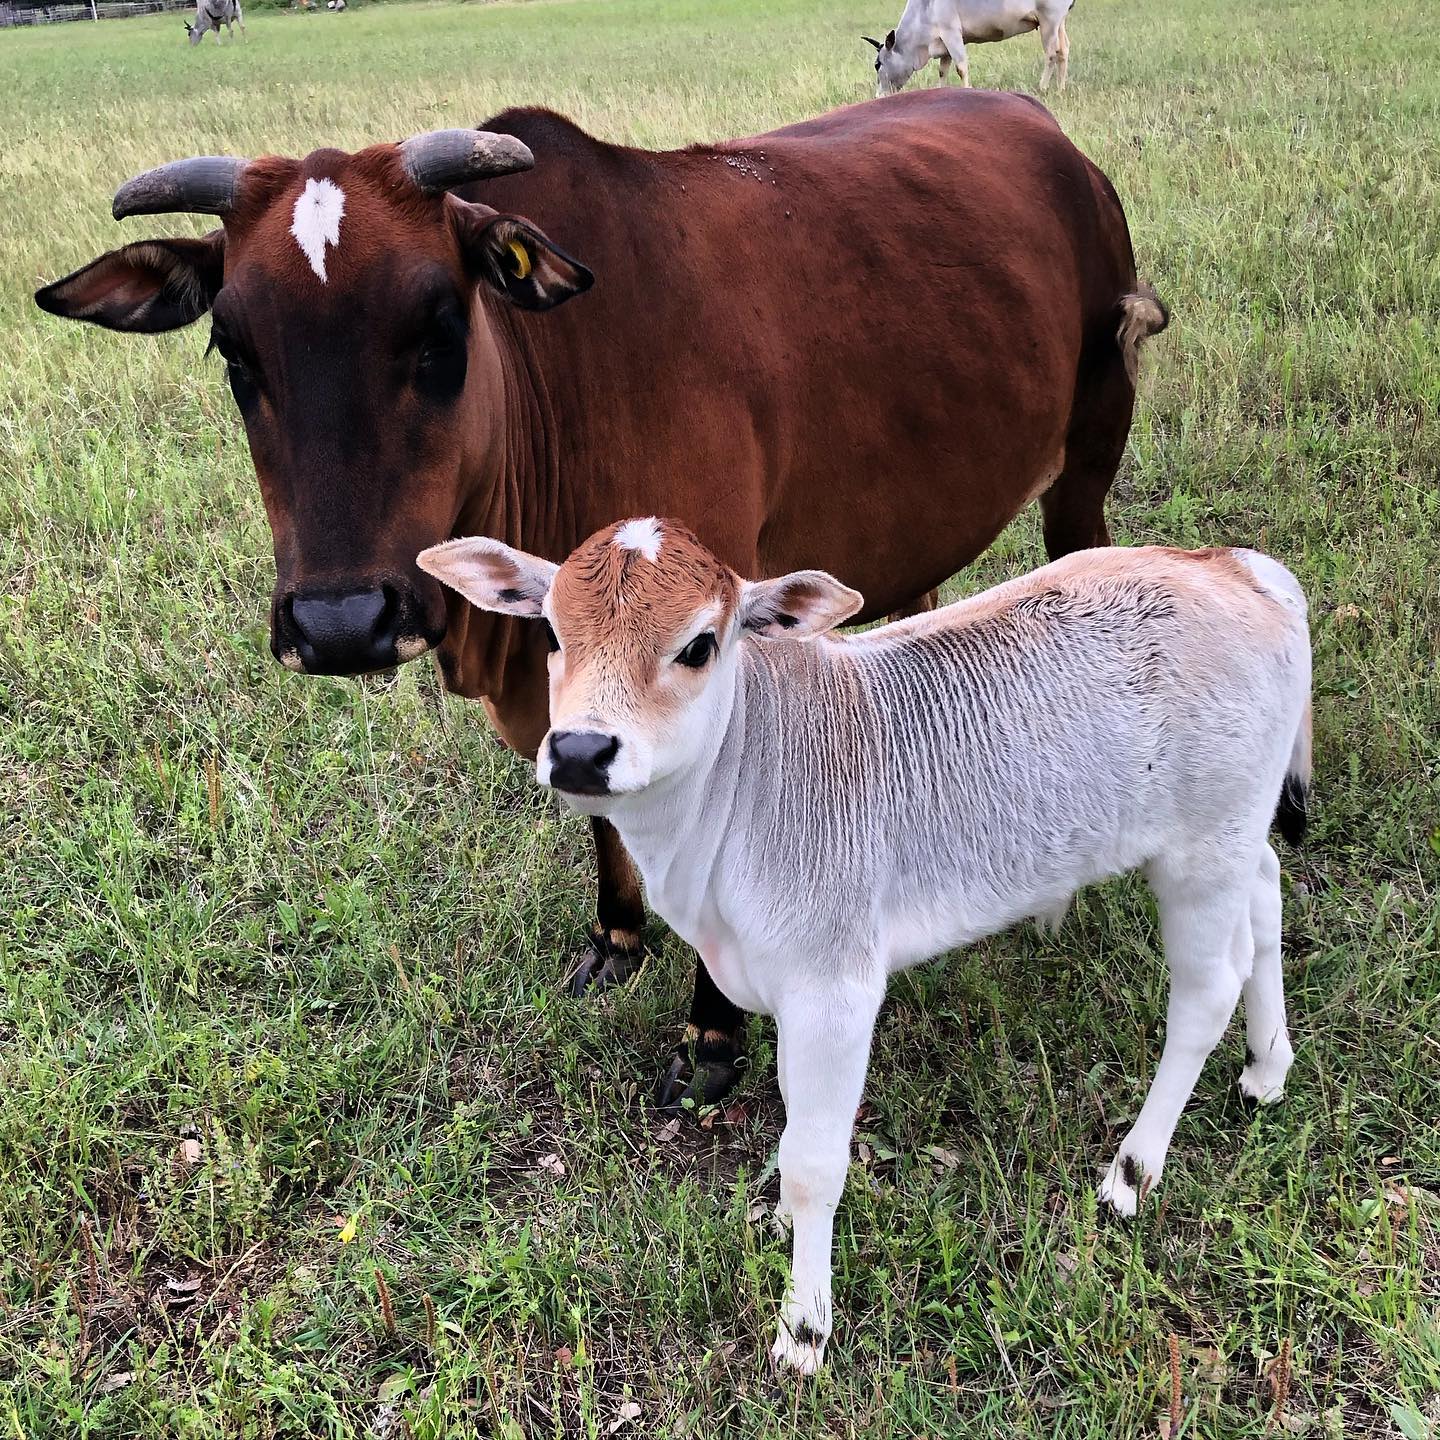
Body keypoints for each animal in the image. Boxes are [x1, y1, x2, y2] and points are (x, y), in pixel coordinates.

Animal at [33, 91, 1167, 1108]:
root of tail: (1045, 127)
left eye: (440, 328)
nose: (340, 622)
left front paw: (712, 1035)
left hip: (1089, 462)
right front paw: (617, 937)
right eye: (235, 348)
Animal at [417, 517, 1313, 1372]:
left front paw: (804, 1327)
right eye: (551, 632)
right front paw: (779, 1219)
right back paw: (1269, 1067)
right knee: (1268, 886)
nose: (579, 751)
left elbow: (817, 1161)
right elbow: (788, 1128)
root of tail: (1235, 565)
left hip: (1201, 846)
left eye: (699, 646)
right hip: (1234, 835)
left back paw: (1133, 1168)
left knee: (1204, 996)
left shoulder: (833, 992)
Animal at [865, 0, 1075, 94]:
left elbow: (961, 68)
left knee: (1051, 53)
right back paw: (1060, 88)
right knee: (1064, 50)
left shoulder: (952, 33)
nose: (879, 96)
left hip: (1049, 20)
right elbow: (943, 71)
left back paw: (1043, 87)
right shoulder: (944, 43)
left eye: (877, 64)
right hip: (1059, 22)